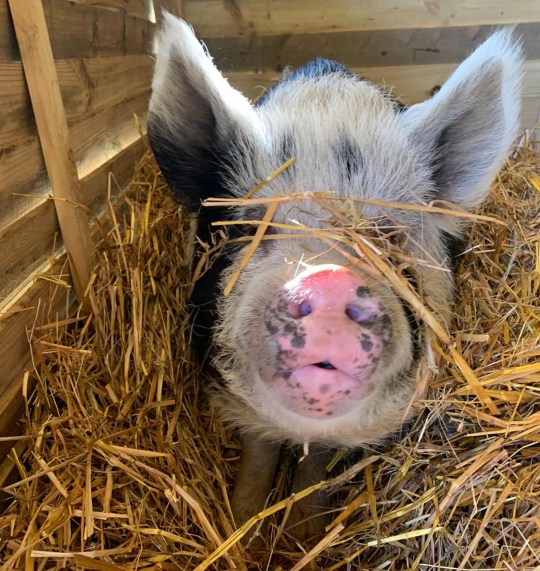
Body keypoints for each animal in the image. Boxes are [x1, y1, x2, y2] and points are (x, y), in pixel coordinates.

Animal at [148, 13, 524, 540]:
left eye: (384, 235)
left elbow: (317, 468)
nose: (326, 278)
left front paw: (305, 535)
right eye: (251, 226)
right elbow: (258, 453)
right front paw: (243, 528)